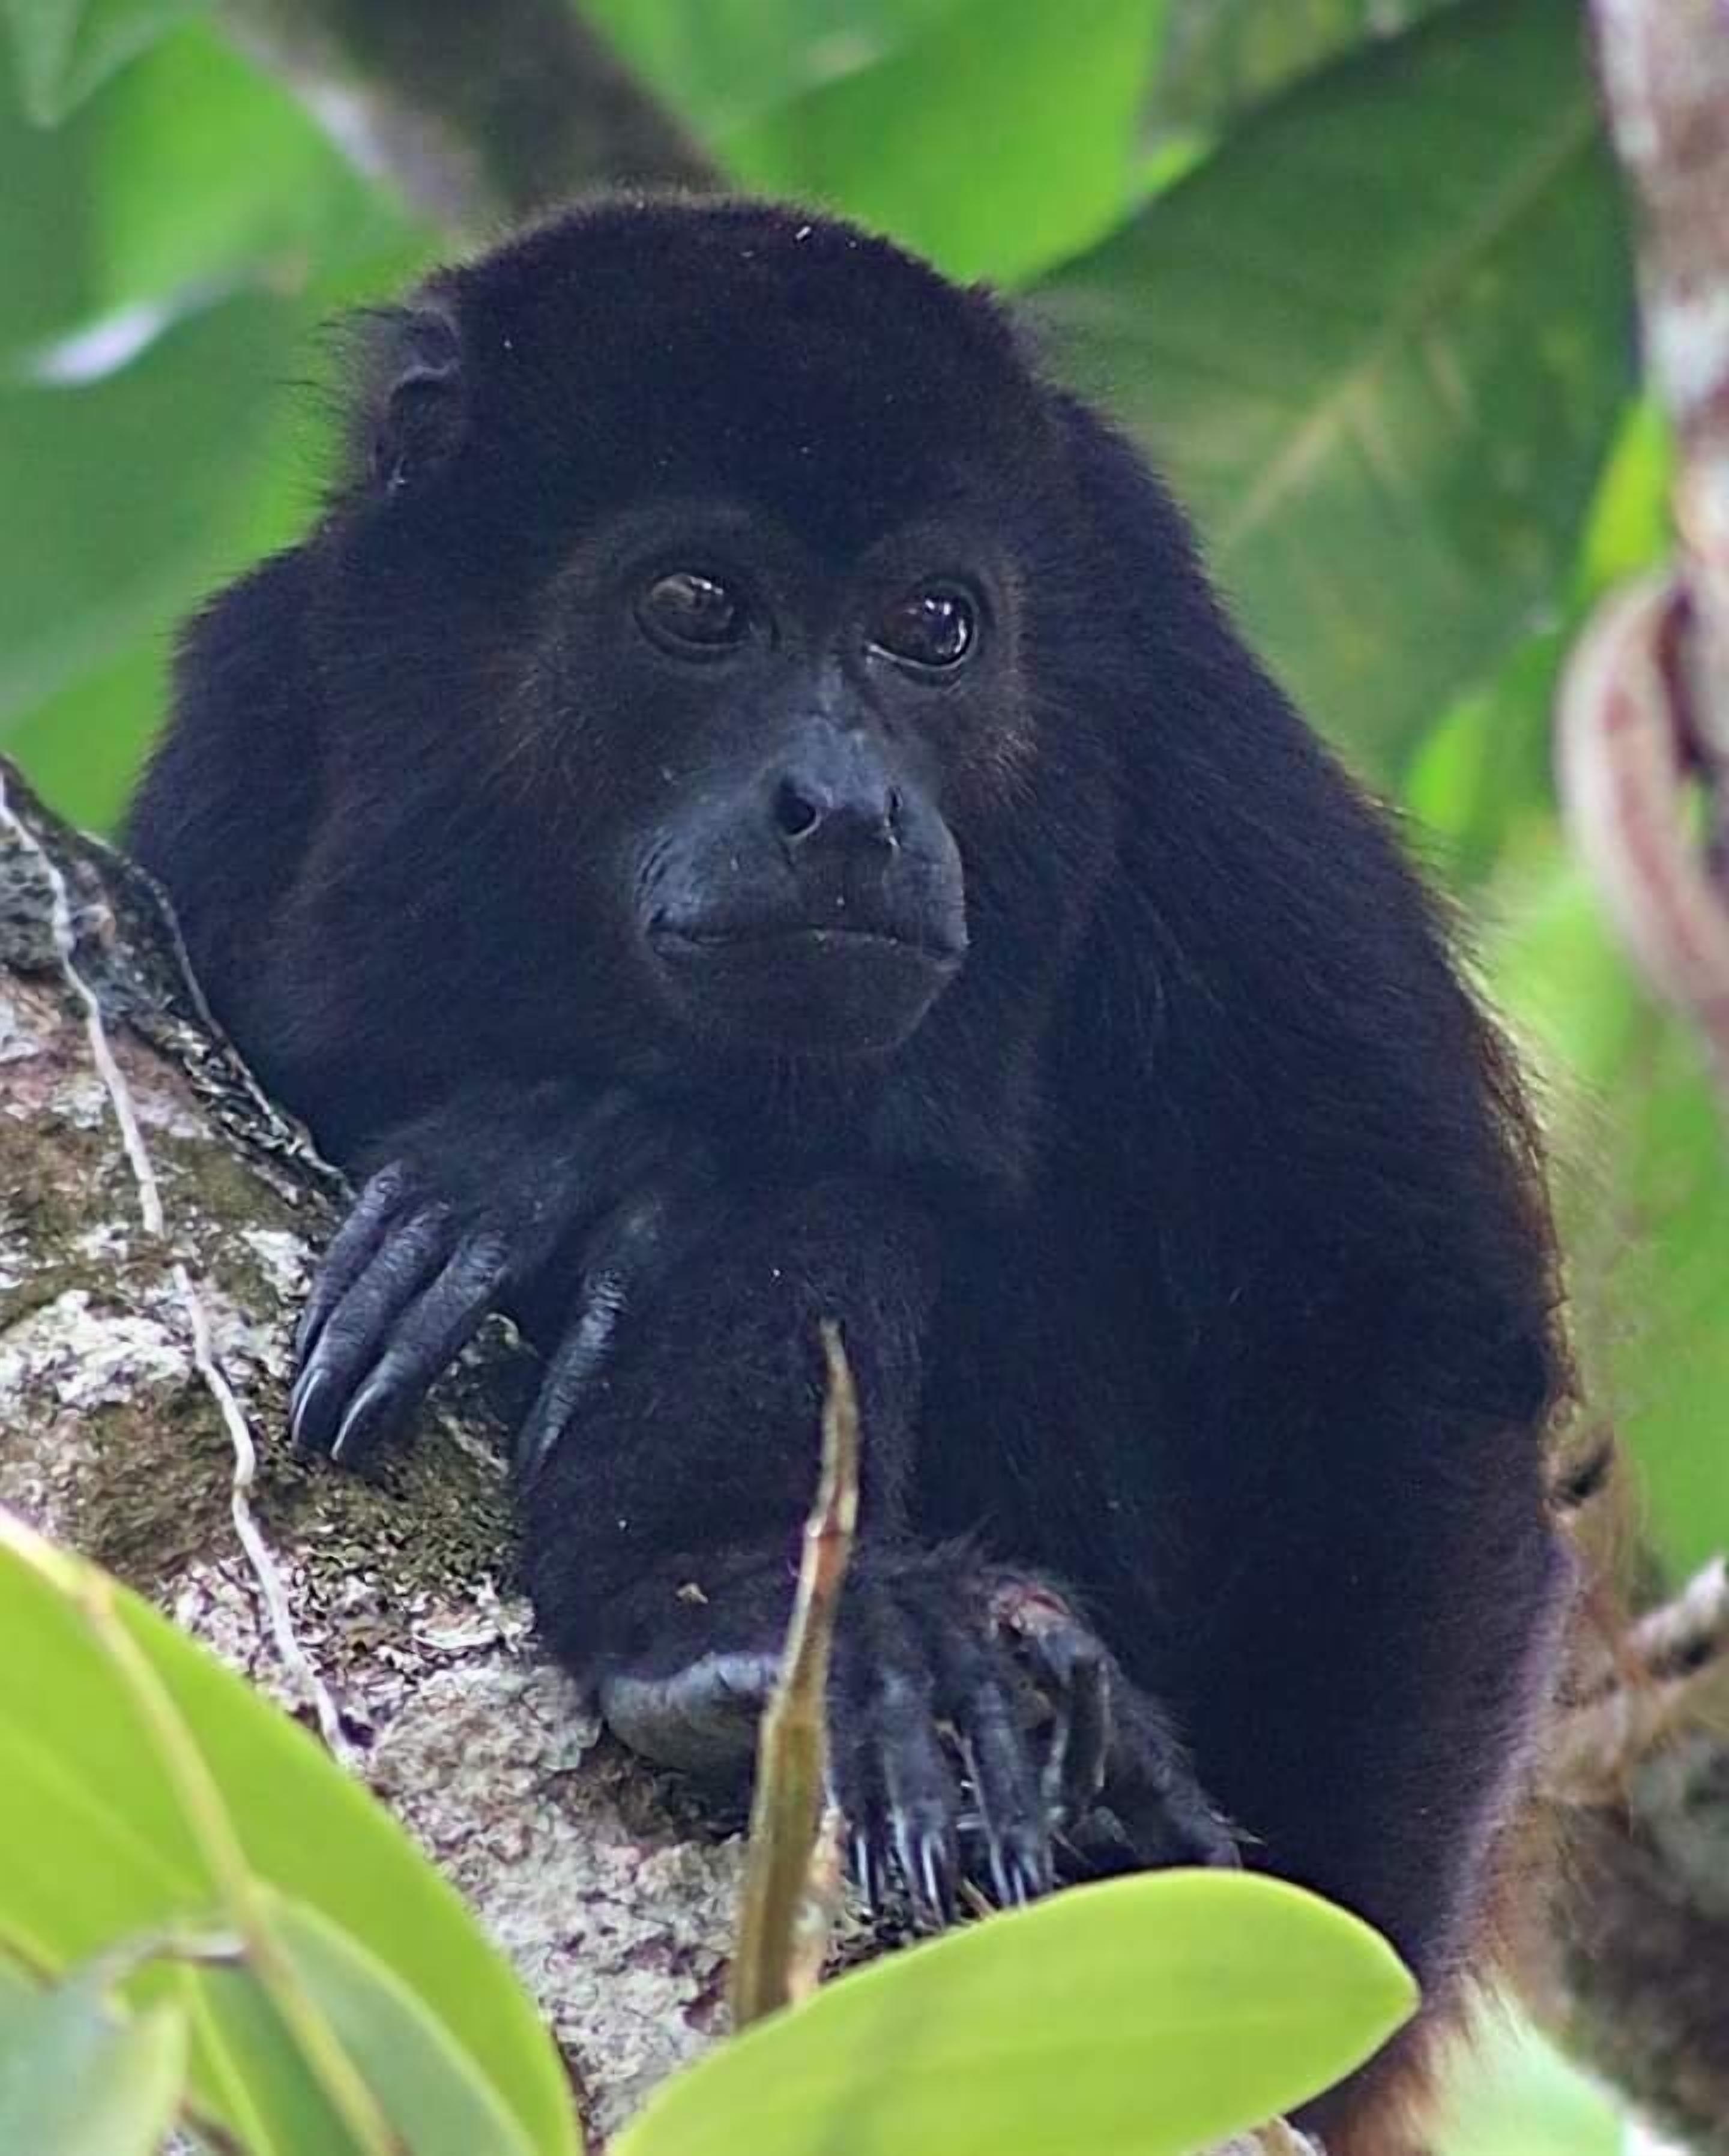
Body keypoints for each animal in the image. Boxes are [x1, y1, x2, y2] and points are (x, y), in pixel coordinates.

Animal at [127, 196, 1571, 2151]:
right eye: (696, 609)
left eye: (932, 628)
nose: (849, 808)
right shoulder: (254, 710)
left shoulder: (1178, 696)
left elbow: (1398, 1321)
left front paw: (581, 1154)